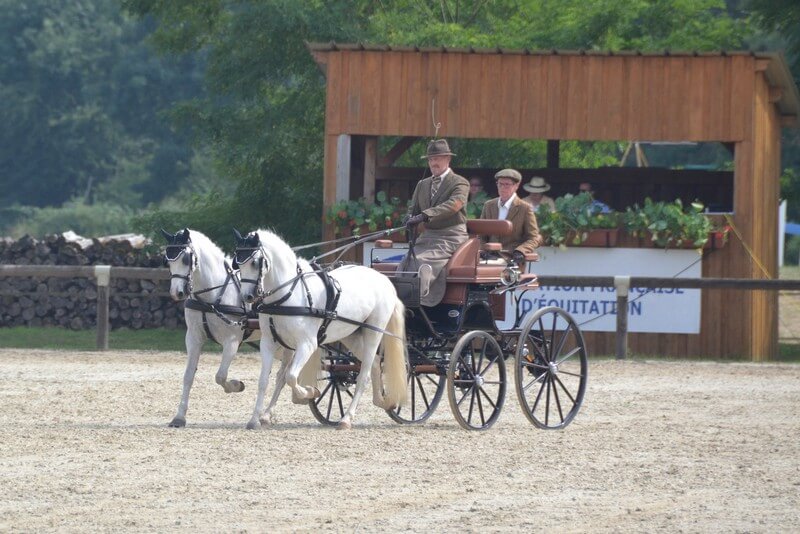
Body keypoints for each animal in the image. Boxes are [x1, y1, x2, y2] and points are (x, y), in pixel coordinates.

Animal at [161, 228, 259, 428]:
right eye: (167, 260)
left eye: (186, 259)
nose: (177, 293)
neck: (212, 296)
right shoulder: (193, 338)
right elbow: (188, 376)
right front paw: (179, 417)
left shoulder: (232, 341)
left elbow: (220, 376)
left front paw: (237, 385)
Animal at [234, 228, 408, 430]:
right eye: (237, 263)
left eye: (255, 262)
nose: (247, 297)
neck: (288, 295)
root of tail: (384, 279)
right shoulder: (269, 343)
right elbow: (264, 381)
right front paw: (255, 419)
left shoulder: (307, 344)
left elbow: (291, 376)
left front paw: (310, 392)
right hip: (351, 335)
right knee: (374, 364)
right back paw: (381, 401)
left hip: (374, 331)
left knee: (364, 374)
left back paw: (346, 419)